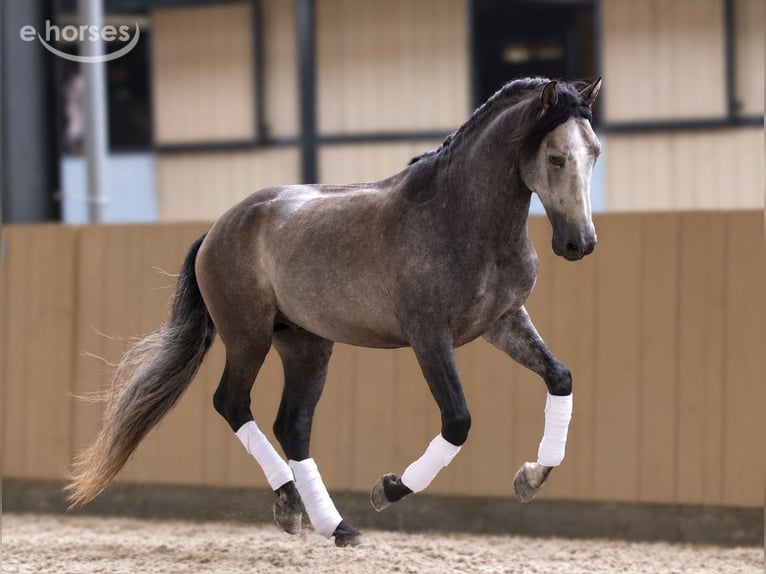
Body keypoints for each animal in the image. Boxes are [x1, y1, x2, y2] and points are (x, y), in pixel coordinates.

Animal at [67, 76, 602, 547]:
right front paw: (388, 489)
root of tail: (218, 228)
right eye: (555, 156)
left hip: (306, 344)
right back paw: (294, 506)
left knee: (293, 425)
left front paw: (531, 477)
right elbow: (458, 421)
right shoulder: (429, 336)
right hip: (248, 336)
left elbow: (560, 377)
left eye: (594, 152)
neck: (462, 218)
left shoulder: (503, 321)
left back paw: (332, 524)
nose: (579, 244)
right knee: (232, 404)